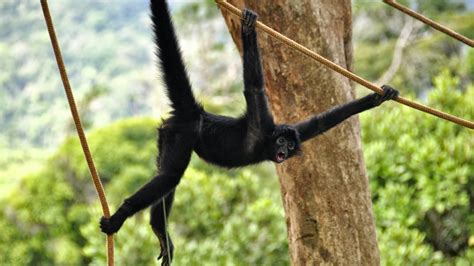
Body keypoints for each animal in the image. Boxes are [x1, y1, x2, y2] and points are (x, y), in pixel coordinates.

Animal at [101, 0, 400, 264]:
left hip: (169, 136)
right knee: (170, 176)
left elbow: (320, 123)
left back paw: (158, 229)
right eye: (281, 141)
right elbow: (254, 87)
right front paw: (248, 30)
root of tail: (197, 113)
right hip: (183, 134)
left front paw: (379, 97)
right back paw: (121, 216)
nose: (284, 150)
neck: (266, 141)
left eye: (290, 146)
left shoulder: (296, 130)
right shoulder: (262, 120)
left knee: (165, 175)